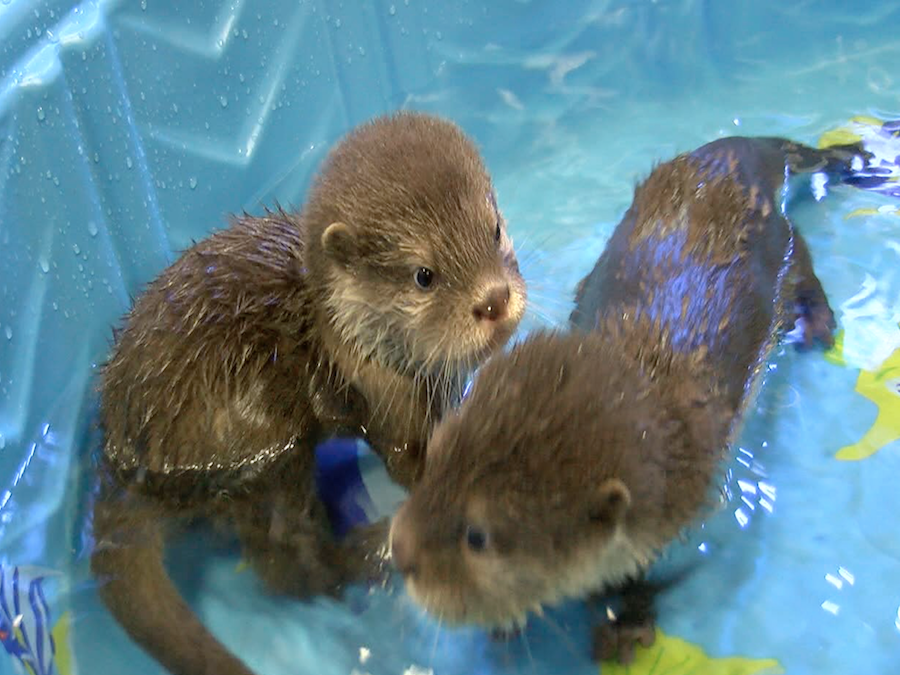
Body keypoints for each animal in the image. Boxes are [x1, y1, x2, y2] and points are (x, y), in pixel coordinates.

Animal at [91, 111, 527, 675]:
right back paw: (373, 553)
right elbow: (411, 466)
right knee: (288, 566)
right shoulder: (385, 404)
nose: (493, 300)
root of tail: (125, 460)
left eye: (494, 230)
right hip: (254, 438)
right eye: (424, 275)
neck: (345, 337)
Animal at [389, 137, 869, 664]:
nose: (400, 550)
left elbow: (658, 576)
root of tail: (728, 157)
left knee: (802, 257)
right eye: (435, 457)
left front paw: (624, 624)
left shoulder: (691, 518)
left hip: (778, 246)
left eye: (478, 537)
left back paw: (817, 322)